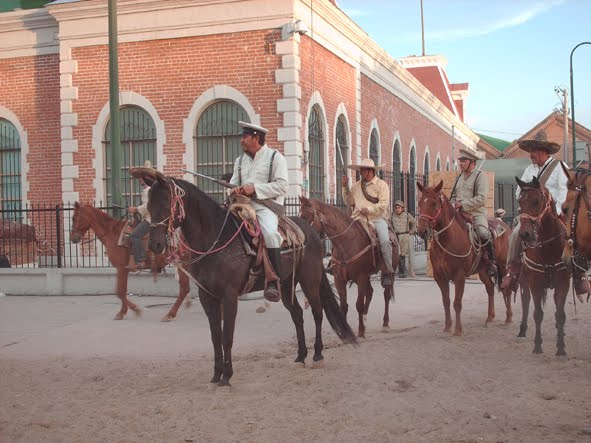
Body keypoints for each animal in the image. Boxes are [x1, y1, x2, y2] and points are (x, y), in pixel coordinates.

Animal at [146, 174, 357, 386]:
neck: (216, 239)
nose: (155, 245)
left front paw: (226, 376)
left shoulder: (229, 296)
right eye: (148, 205)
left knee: (317, 313)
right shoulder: (207, 296)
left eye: (165, 204)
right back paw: (300, 356)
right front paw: (216, 374)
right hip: (285, 286)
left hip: (310, 282)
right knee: (297, 315)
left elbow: (227, 336)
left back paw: (317, 355)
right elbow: (215, 336)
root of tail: (310, 231)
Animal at [298, 196, 398, 338]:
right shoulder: (339, 280)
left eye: (306, 217)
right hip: (367, 277)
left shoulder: (361, 278)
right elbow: (344, 306)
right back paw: (365, 319)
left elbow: (359, 304)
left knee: (386, 294)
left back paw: (385, 323)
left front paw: (360, 331)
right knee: (370, 292)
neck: (346, 243)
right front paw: (346, 332)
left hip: (390, 272)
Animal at [416, 181, 512, 336]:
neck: (448, 240)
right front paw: (447, 327)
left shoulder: (459, 276)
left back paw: (508, 318)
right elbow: (446, 301)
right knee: (490, 288)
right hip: (483, 271)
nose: (422, 231)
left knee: (506, 289)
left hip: (504, 266)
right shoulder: (439, 277)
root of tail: (504, 225)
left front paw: (458, 330)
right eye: (420, 202)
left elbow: (457, 302)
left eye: (434, 203)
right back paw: (489, 318)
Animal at [515, 176, 570, 356]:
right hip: (523, 281)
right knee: (525, 302)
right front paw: (537, 345)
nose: (524, 234)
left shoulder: (563, 284)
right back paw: (522, 330)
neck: (549, 249)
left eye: (536, 201)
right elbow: (537, 313)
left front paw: (561, 348)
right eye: (520, 201)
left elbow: (560, 314)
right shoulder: (535, 284)